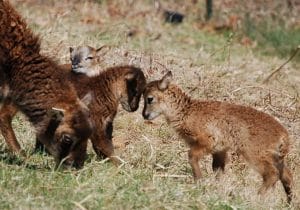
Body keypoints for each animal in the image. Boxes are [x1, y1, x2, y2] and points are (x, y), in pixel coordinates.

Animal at [142, 71, 292, 203]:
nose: (145, 115)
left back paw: (256, 197)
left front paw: (199, 181)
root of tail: (283, 135)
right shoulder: (219, 151)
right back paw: (288, 203)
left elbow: (192, 156)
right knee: (287, 176)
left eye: (150, 99)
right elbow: (218, 171)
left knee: (272, 174)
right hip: (277, 158)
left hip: (254, 154)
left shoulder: (207, 142)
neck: (187, 111)